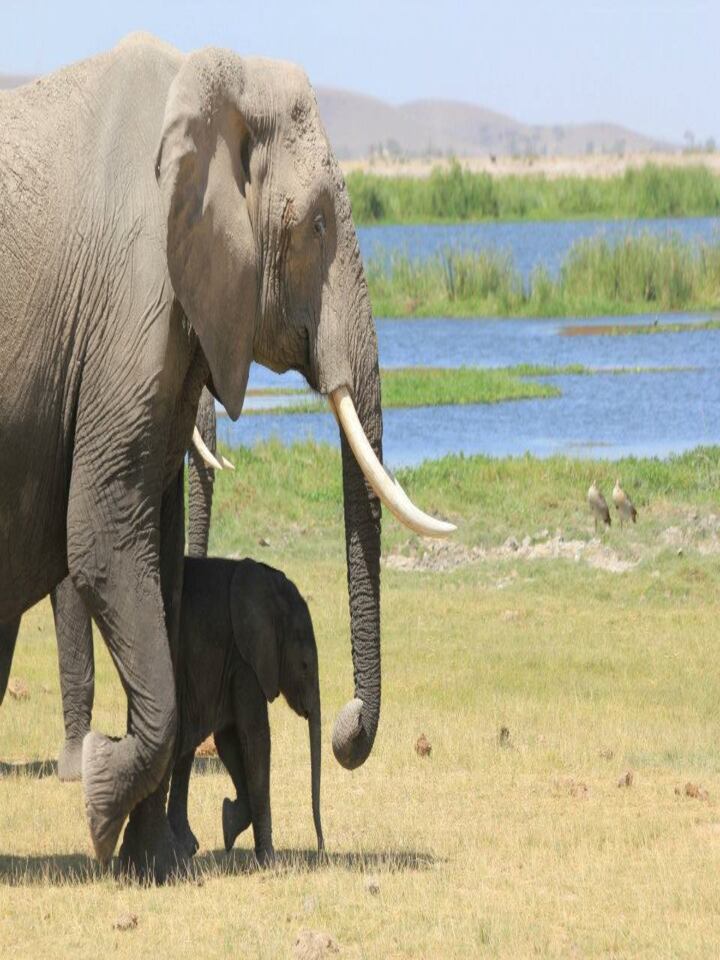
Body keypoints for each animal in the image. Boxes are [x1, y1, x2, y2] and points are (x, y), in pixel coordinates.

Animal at [166, 556, 324, 864]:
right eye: (305, 666)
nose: (322, 847)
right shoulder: (246, 660)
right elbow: (255, 737)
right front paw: (270, 860)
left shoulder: (234, 662)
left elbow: (230, 738)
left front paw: (230, 822)